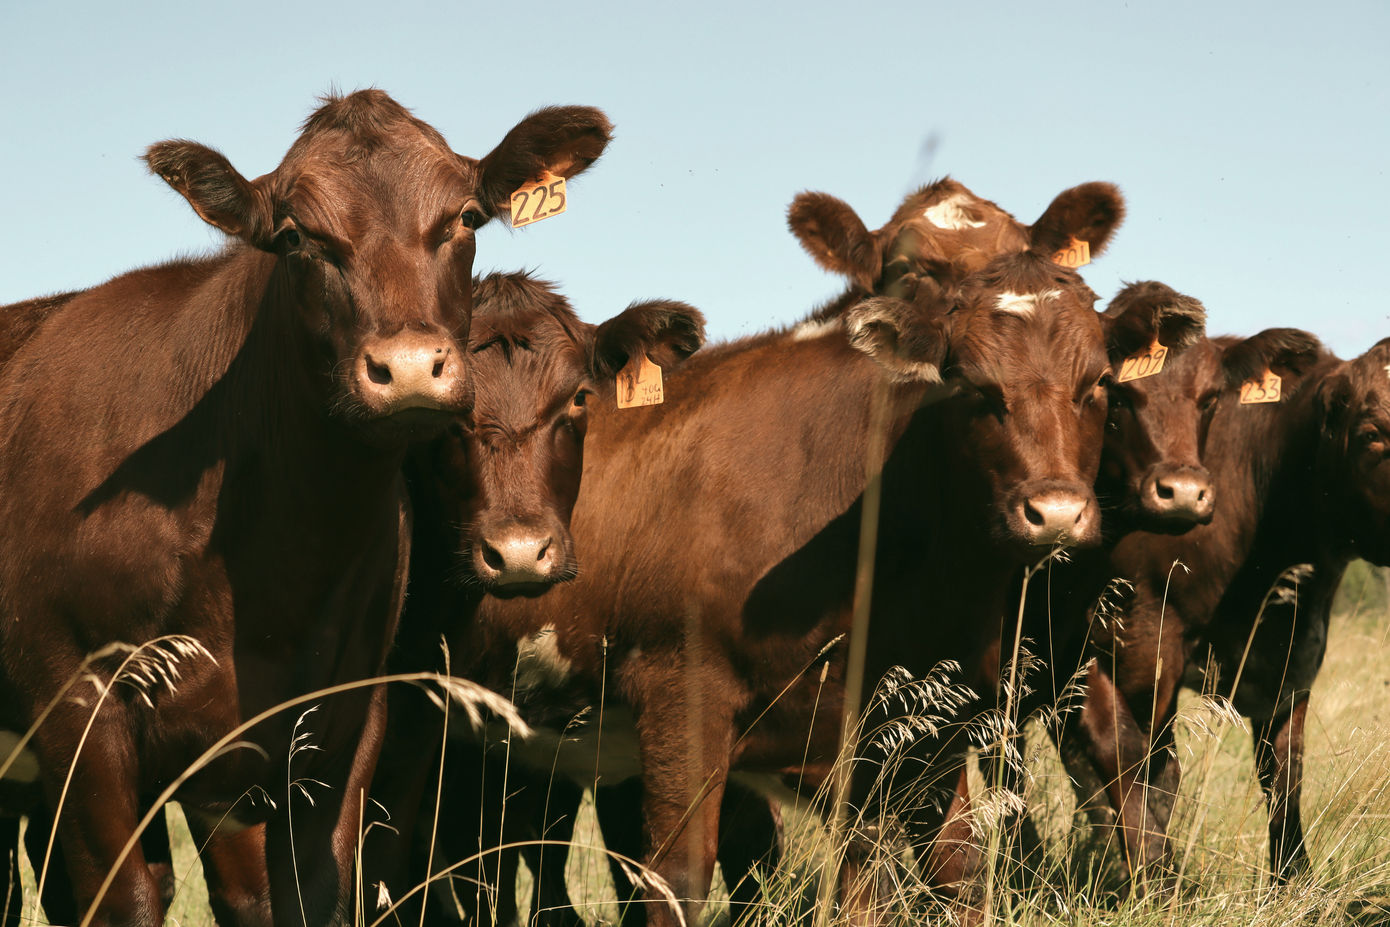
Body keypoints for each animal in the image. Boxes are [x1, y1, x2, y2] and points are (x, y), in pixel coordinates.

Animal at [0, 90, 611, 927]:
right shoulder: (76, 710)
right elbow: (124, 895)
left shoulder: (338, 724)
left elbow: (302, 892)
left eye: (466, 217)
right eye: (295, 237)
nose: (409, 367)